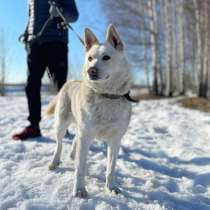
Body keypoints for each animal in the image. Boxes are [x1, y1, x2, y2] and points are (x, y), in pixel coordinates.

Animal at [46, 24, 133, 197]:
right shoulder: (86, 135)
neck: (106, 96)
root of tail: (70, 81)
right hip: (62, 123)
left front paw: (111, 187)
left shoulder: (115, 140)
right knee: (59, 144)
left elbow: (111, 168)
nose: (91, 70)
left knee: (74, 139)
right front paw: (79, 190)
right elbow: (81, 168)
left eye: (106, 57)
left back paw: (72, 155)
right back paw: (55, 161)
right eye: (90, 58)